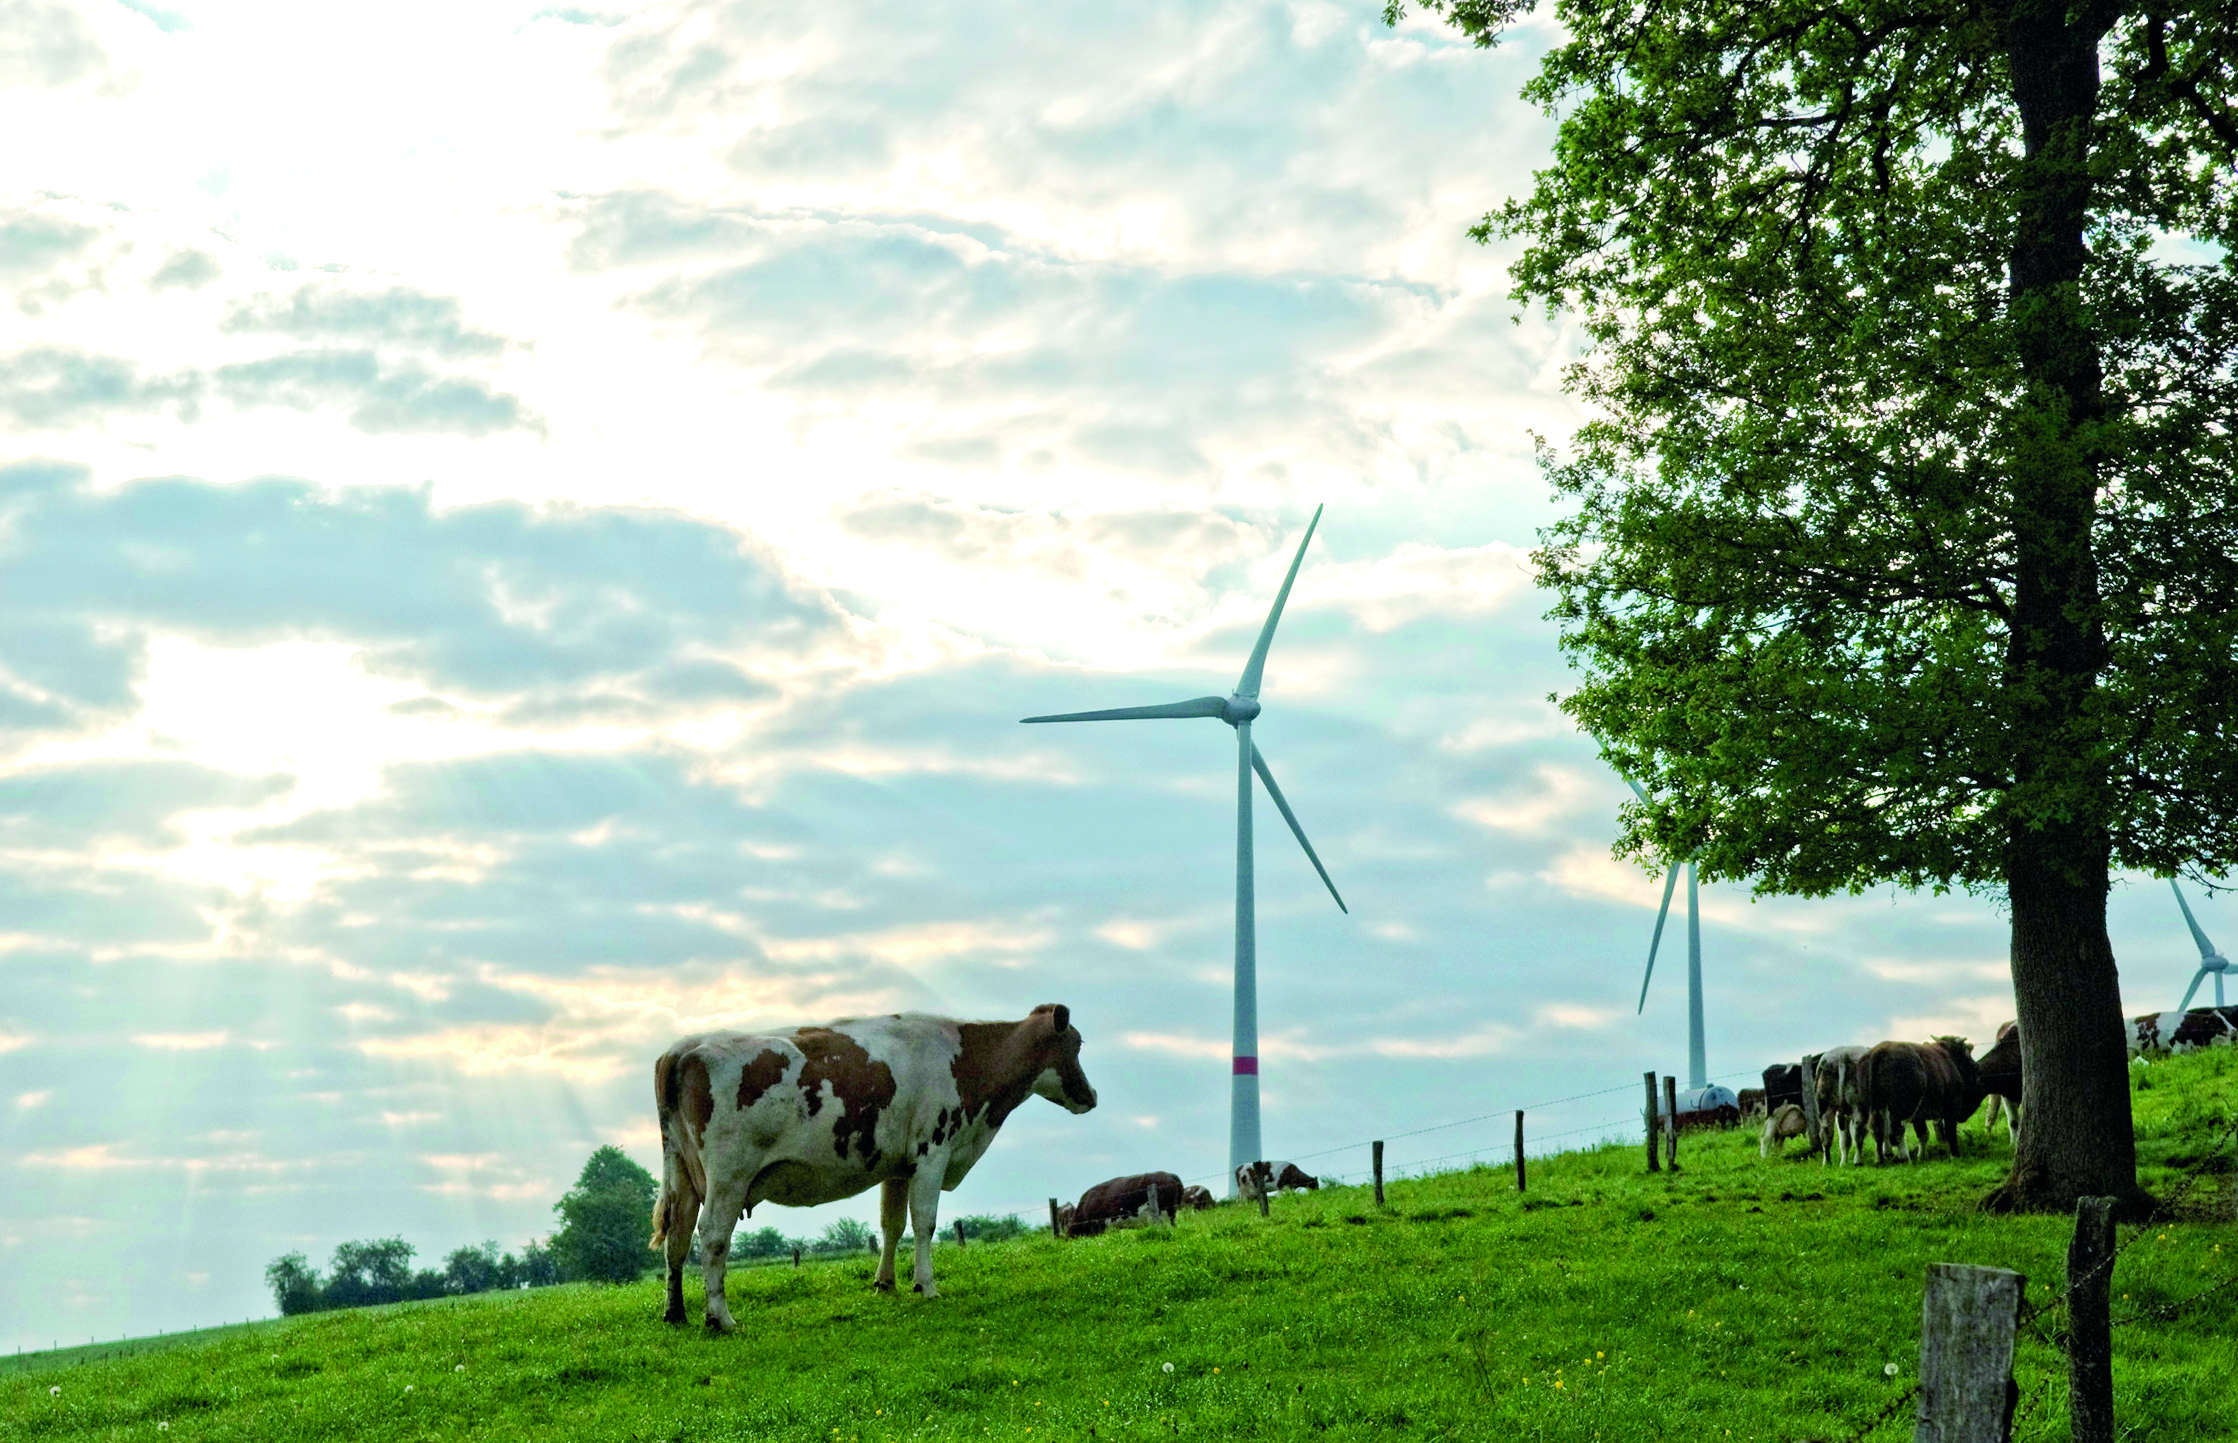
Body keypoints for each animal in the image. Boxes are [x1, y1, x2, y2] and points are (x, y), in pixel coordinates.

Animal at [649, 1002, 1101, 1324]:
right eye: (1076, 1045)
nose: (1092, 1095)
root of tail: (682, 1048)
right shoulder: (932, 1153)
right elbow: (924, 1223)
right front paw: (926, 1285)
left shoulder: (899, 1166)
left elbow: (891, 1225)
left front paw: (885, 1283)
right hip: (729, 1175)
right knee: (712, 1237)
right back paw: (719, 1318)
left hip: (682, 1173)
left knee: (678, 1237)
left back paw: (676, 1314)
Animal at [1853, 1029, 1978, 1163]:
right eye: (1968, 1052)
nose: (1975, 1066)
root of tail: (1879, 1050)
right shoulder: (1952, 1105)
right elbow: (1950, 1131)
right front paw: (1955, 1155)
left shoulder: (1918, 1114)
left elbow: (1923, 1133)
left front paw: (1922, 1156)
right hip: (1904, 1106)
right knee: (1897, 1129)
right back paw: (1904, 1158)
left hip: (1875, 1105)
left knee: (1876, 1129)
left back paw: (1880, 1158)